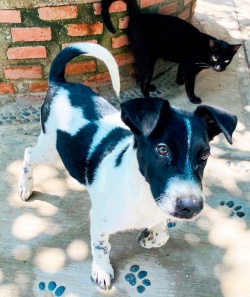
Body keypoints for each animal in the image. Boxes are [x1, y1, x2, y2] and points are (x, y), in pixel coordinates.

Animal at [17, 42, 236, 290]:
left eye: (205, 155)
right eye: (162, 149)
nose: (191, 208)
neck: (142, 191)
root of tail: (61, 84)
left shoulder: (161, 208)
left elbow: (163, 234)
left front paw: (148, 238)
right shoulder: (100, 220)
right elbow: (101, 247)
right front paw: (102, 270)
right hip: (50, 150)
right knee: (29, 154)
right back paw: (25, 187)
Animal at [101, 0, 240, 103]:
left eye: (226, 60)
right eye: (215, 57)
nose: (219, 68)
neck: (205, 50)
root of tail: (138, 15)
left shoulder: (184, 62)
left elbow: (179, 71)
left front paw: (179, 81)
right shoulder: (190, 69)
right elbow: (190, 86)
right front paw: (193, 98)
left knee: (139, 76)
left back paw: (150, 87)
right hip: (148, 60)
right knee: (141, 80)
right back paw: (147, 96)